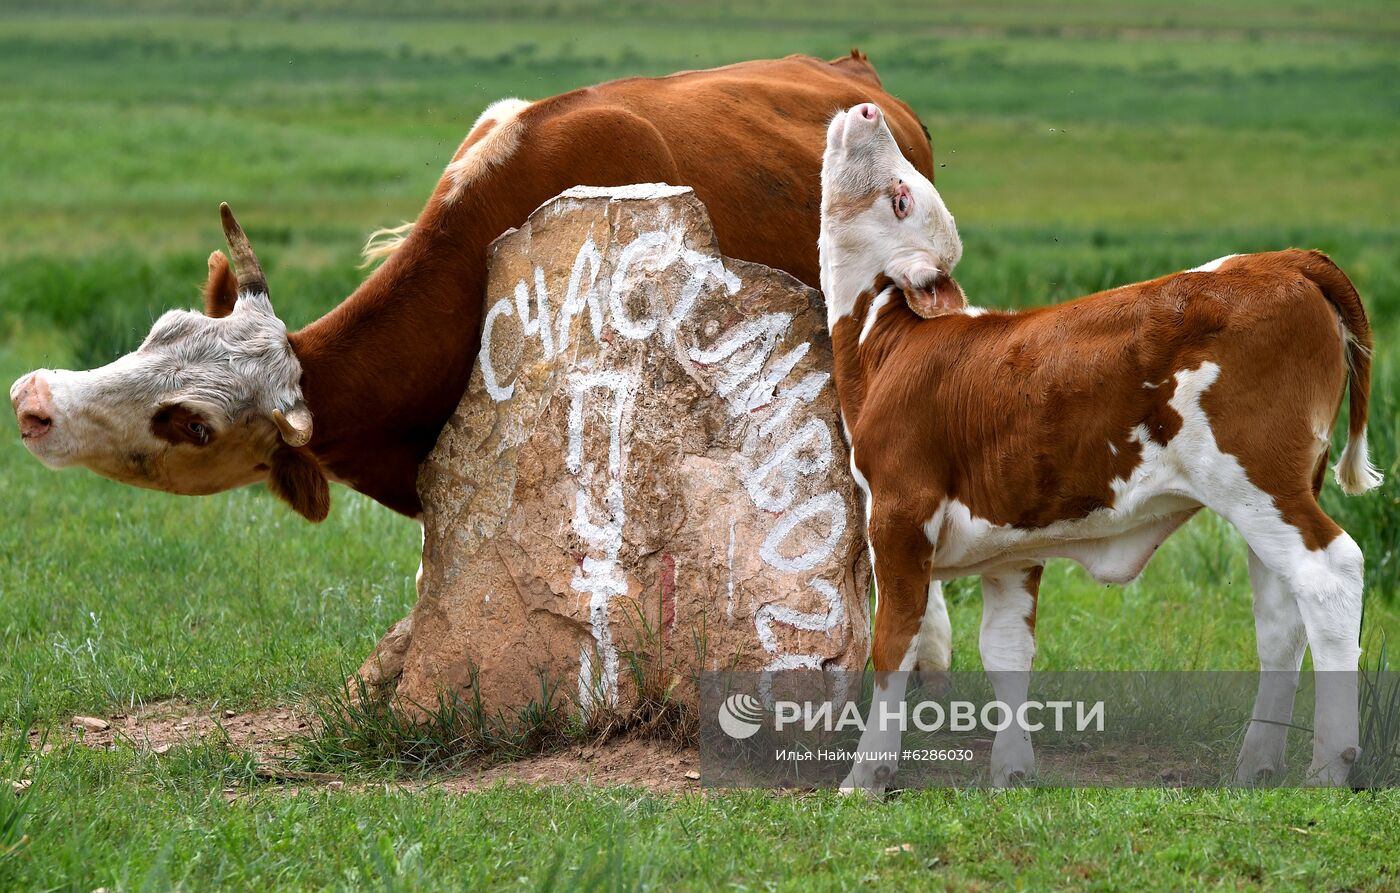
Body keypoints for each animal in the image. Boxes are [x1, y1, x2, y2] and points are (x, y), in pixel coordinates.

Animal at [817, 103, 1377, 789]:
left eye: (902, 197)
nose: (867, 108)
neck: (884, 348)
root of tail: (1284, 259)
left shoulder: (898, 515)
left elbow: (895, 642)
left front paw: (865, 777)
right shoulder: (1009, 543)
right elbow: (1006, 650)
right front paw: (1012, 772)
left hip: (1256, 477)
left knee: (1329, 575)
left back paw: (1329, 764)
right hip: (1275, 495)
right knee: (1280, 618)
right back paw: (1255, 765)